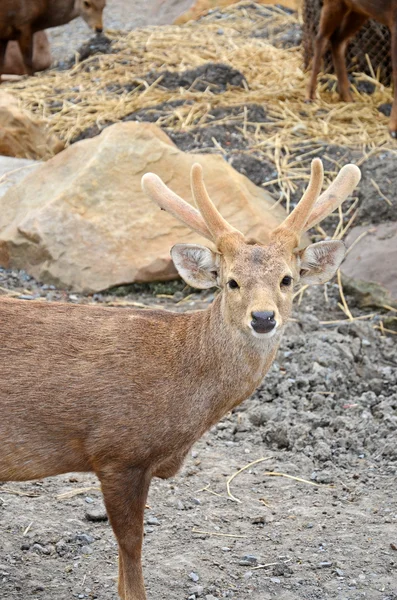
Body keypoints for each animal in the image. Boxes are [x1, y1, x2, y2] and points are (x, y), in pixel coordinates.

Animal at [304, 0, 396, 137]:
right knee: (321, 38)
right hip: (335, 3)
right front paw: (393, 129)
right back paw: (309, 96)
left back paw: (347, 97)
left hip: (358, 10)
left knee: (337, 40)